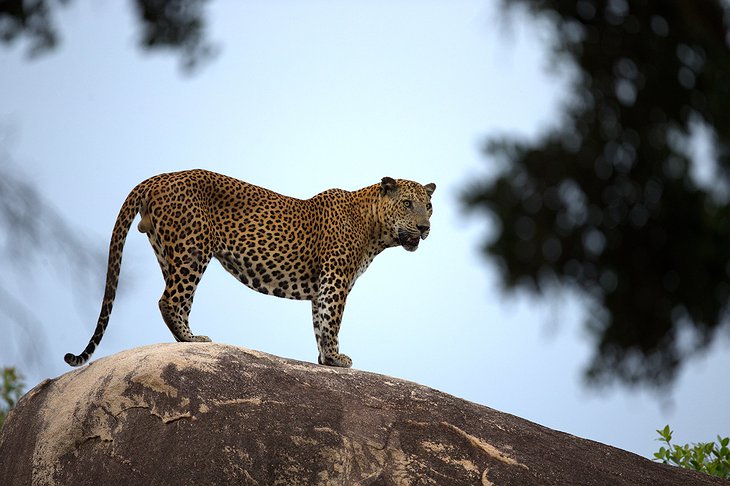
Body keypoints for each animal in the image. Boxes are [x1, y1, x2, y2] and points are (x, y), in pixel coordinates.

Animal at [64, 169, 432, 366]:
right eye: (407, 203)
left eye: (428, 206)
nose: (425, 227)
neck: (374, 229)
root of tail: (158, 178)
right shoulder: (335, 280)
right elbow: (332, 322)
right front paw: (336, 359)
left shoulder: (323, 286)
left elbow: (319, 322)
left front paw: (324, 360)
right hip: (193, 249)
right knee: (168, 300)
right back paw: (192, 340)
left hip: (168, 252)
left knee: (179, 301)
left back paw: (189, 338)